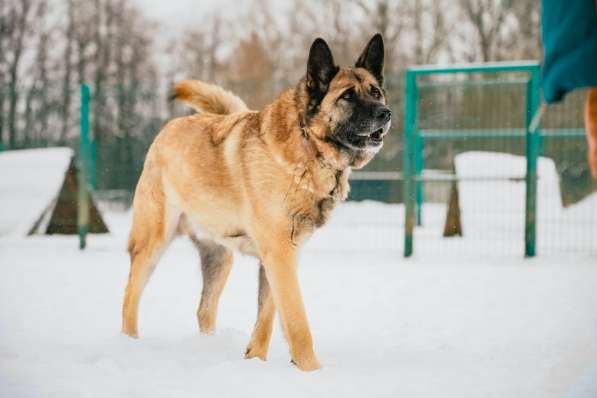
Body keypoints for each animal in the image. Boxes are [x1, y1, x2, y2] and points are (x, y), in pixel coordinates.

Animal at [121, 33, 392, 370]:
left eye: (376, 92)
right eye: (348, 97)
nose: (385, 113)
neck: (307, 149)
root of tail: (169, 128)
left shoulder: (282, 257)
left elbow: (267, 318)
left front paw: (255, 361)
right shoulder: (280, 255)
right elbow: (298, 323)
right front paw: (312, 371)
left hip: (219, 257)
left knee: (204, 309)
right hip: (153, 243)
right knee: (130, 296)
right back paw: (129, 345)